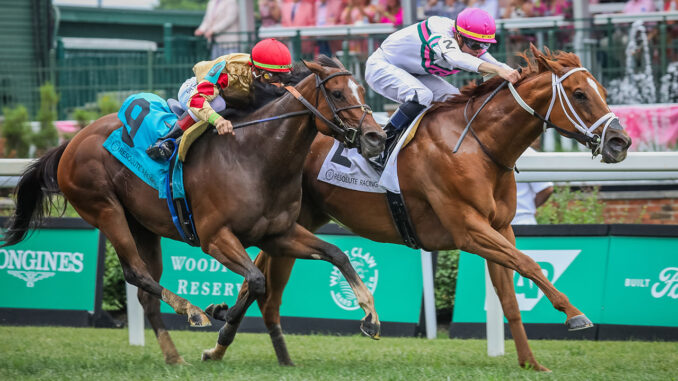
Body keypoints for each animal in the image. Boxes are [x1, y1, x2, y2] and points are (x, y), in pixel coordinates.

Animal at [1, 56, 388, 362]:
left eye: (362, 91)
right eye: (337, 94)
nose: (376, 138)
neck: (256, 157)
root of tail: (71, 141)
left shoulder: (279, 233)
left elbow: (336, 253)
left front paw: (370, 316)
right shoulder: (214, 238)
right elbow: (256, 280)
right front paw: (220, 317)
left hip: (141, 225)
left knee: (145, 291)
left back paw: (174, 357)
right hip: (104, 209)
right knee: (136, 273)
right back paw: (192, 311)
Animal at [231, 44, 636, 368]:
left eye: (601, 90)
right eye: (579, 94)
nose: (620, 142)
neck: (478, 145)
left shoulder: (499, 229)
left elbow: (510, 298)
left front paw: (531, 364)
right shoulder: (468, 230)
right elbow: (530, 264)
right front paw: (575, 315)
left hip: (299, 220)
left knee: (261, 281)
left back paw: (228, 338)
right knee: (260, 280)